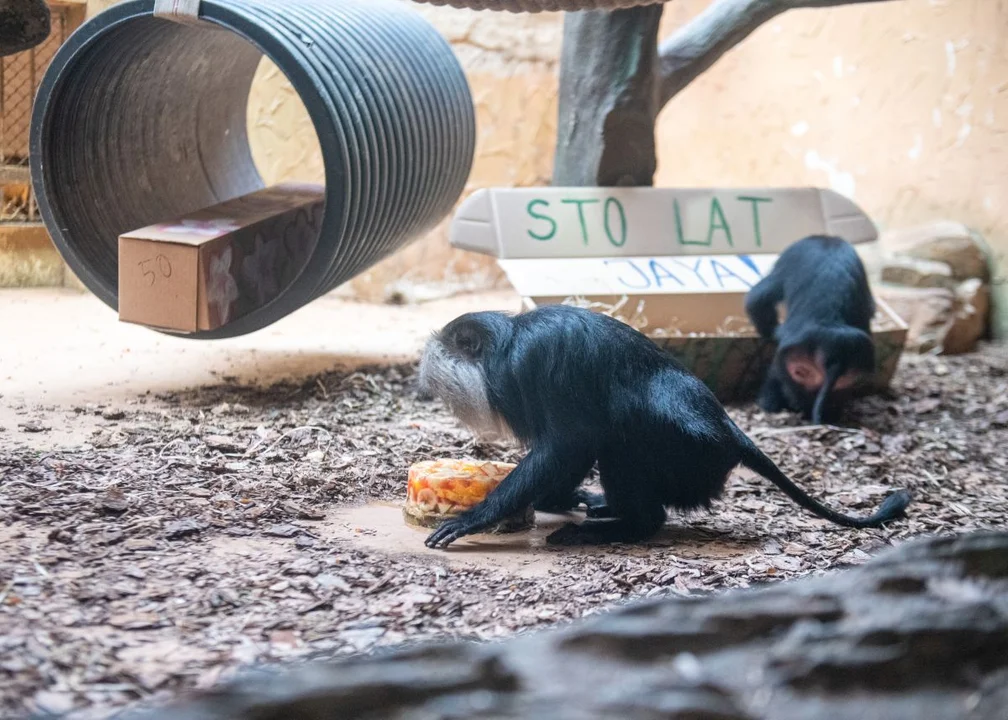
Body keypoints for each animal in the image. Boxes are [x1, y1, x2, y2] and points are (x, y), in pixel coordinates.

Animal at [413, 300, 911, 544]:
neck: (507, 346)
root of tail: (730, 433)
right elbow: (573, 448)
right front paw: (561, 498)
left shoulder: (531, 364)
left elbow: (570, 442)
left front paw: (477, 517)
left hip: (689, 456)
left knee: (623, 443)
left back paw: (622, 528)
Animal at [745, 235, 878, 423]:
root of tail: (835, 361)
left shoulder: (784, 264)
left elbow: (757, 299)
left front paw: (771, 332)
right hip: (848, 378)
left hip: (792, 364)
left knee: (779, 379)